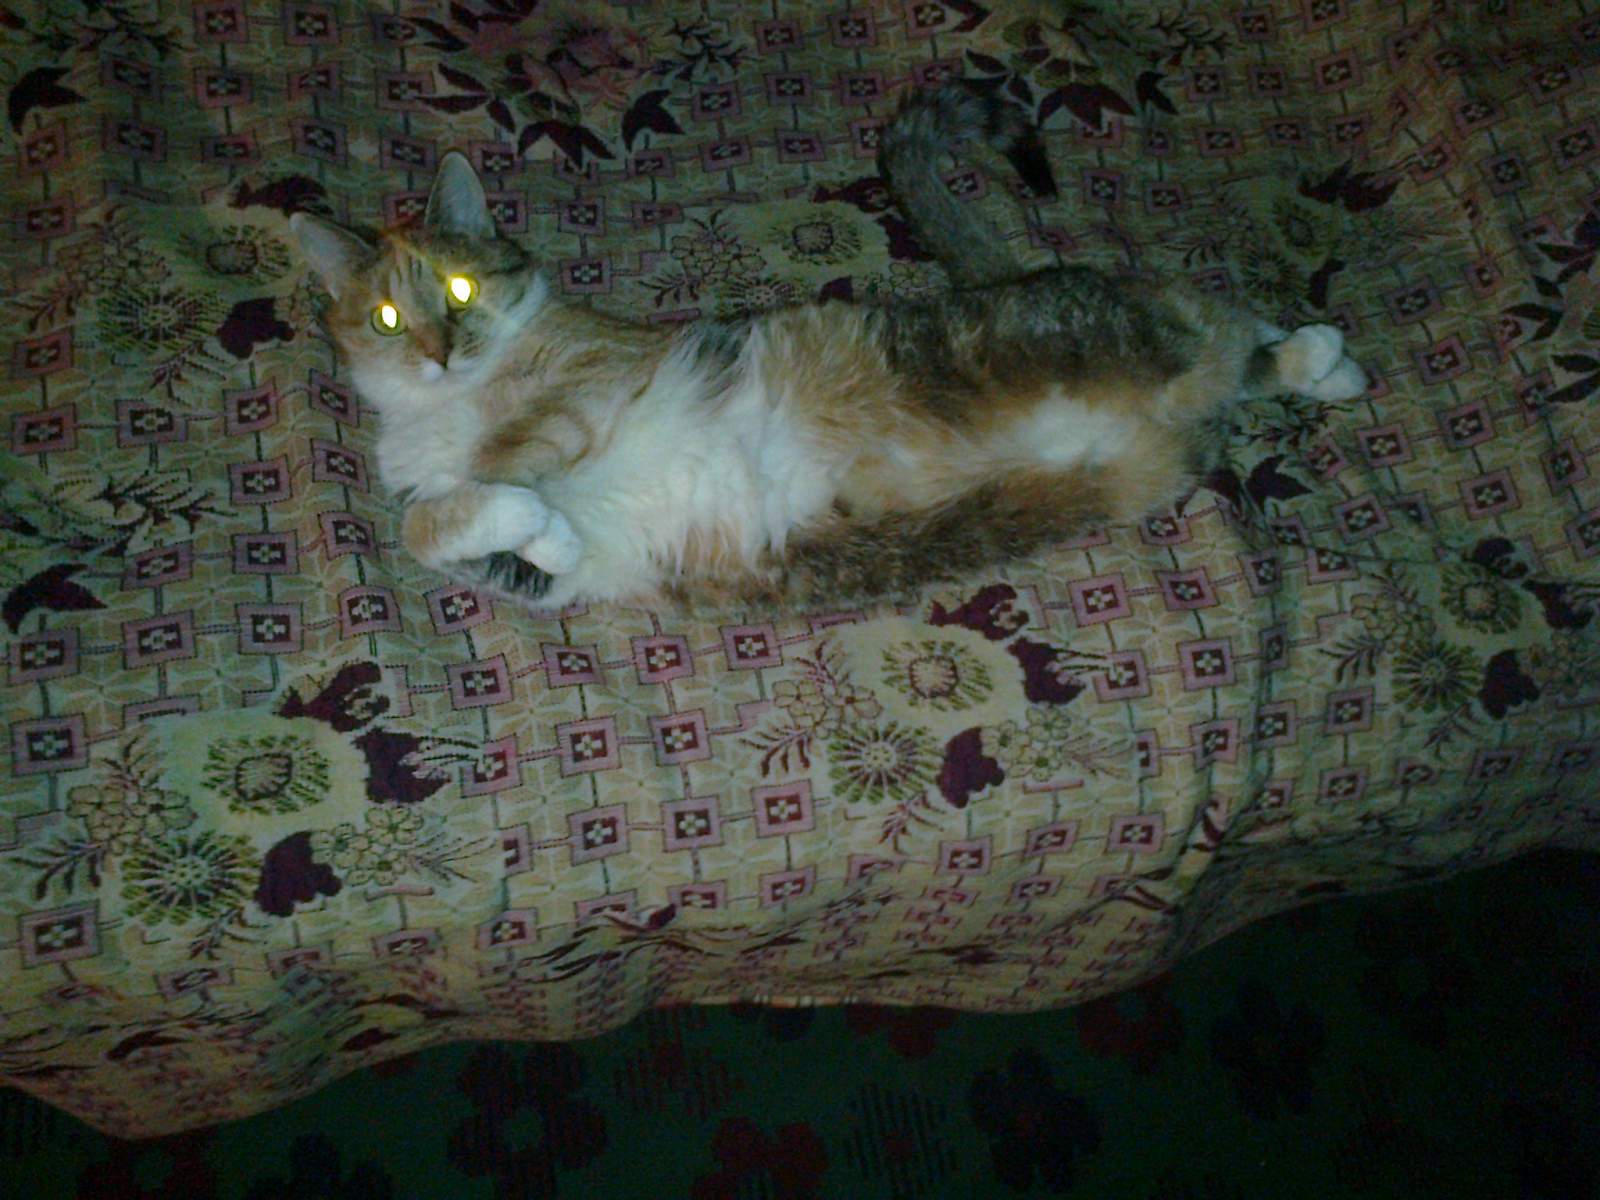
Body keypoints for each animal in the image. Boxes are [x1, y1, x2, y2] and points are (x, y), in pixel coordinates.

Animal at [290, 81, 1366, 613]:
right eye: (388, 318)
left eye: (461, 289)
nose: (439, 350)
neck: (446, 405)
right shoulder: (555, 571)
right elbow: (446, 528)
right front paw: (534, 528)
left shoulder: (590, 381)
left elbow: (479, 476)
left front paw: (512, 492)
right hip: (1158, 436)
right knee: (1227, 366)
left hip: (1094, 328)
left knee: (1217, 317)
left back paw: (1326, 354)